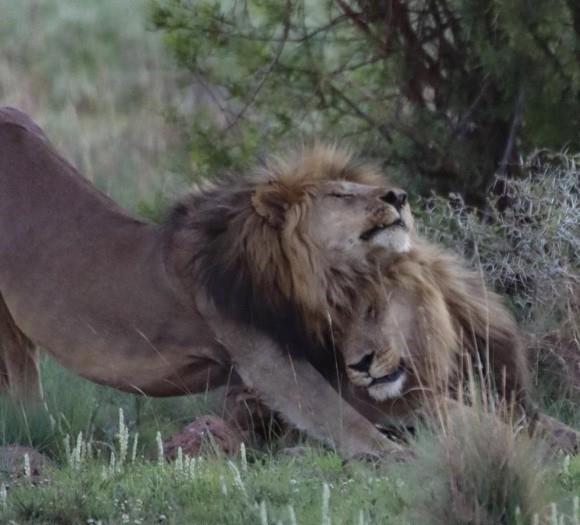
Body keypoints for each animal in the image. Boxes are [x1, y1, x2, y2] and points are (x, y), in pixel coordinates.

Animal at [1, 106, 416, 458]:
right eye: (341, 194)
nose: (400, 194)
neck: (301, 272)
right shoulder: (267, 360)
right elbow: (339, 415)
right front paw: (398, 456)